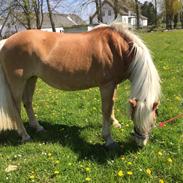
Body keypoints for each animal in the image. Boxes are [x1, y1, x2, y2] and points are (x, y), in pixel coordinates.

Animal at [0, 23, 160, 148]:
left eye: (153, 122)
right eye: (135, 119)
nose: (141, 144)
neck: (117, 48)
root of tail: (6, 41)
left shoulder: (114, 84)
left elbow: (112, 105)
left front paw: (115, 123)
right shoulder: (106, 85)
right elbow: (106, 109)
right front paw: (108, 139)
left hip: (31, 79)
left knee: (27, 102)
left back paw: (38, 127)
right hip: (17, 82)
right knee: (15, 108)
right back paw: (25, 135)